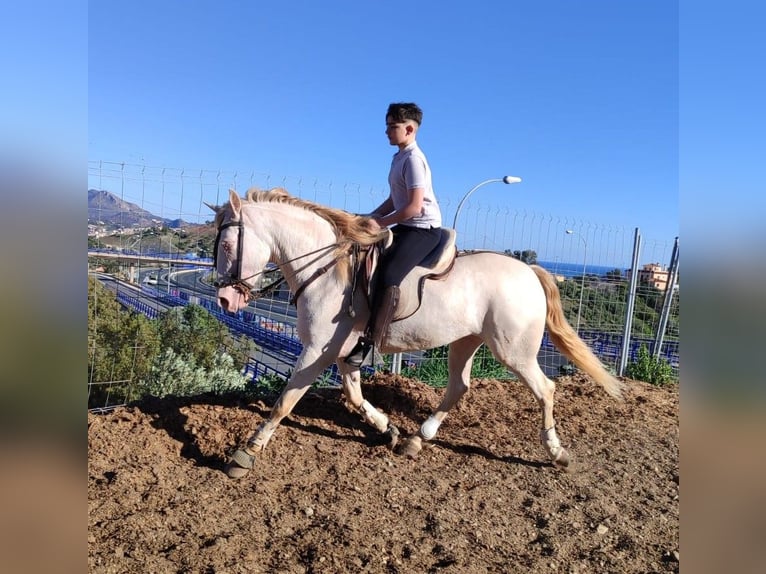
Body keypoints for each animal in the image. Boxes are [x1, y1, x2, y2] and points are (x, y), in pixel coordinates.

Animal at [211, 187, 622, 479]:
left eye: (229, 244)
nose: (225, 300)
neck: (328, 269)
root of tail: (531, 272)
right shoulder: (343, 351)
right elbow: (354, 395)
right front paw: (387, 429)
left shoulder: (318, 351)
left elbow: (285, 401)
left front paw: (245, 453)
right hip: (466, 342)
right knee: (459, 386)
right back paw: (417, 438)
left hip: (513, 351)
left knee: (545, 389)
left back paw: (556, 452)